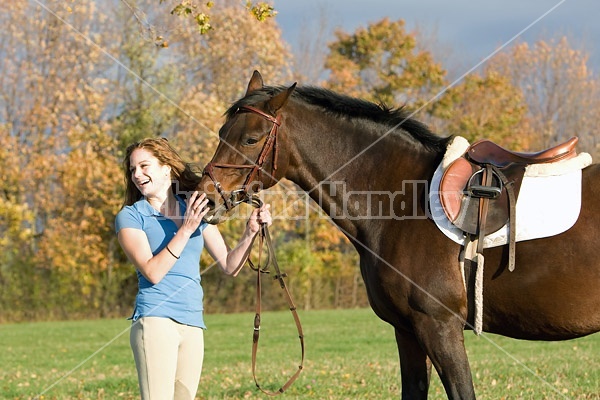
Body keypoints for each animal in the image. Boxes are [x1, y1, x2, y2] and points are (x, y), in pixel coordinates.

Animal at [198, 70, 600, 398]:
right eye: (221, 134)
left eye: (251, 139)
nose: (206, 197)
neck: (404, 202)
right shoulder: (407, 331)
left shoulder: (439, 327)